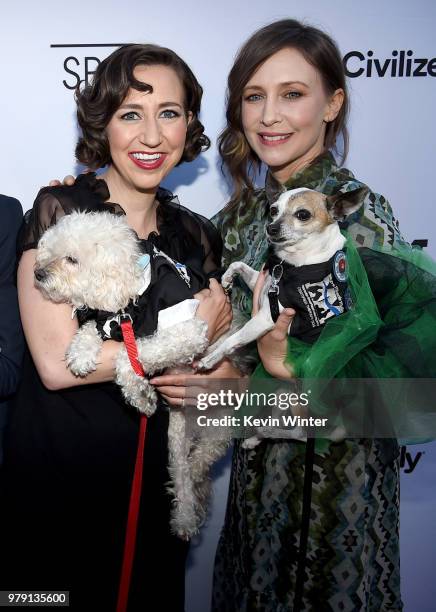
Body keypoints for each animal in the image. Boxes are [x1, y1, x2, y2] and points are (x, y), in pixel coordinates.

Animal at [35, 212, 228, 540]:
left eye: (71, 259)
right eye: (50, 251)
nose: (37, 273)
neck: (132, 299)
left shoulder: (188, 331)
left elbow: (131, 355)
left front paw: (140, 393)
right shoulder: (108, 320)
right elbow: (92, 329)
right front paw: (81, 352)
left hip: (224, 422)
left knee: (207, 452)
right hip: (176, 437)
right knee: (182, 473)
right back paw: (185, 517)